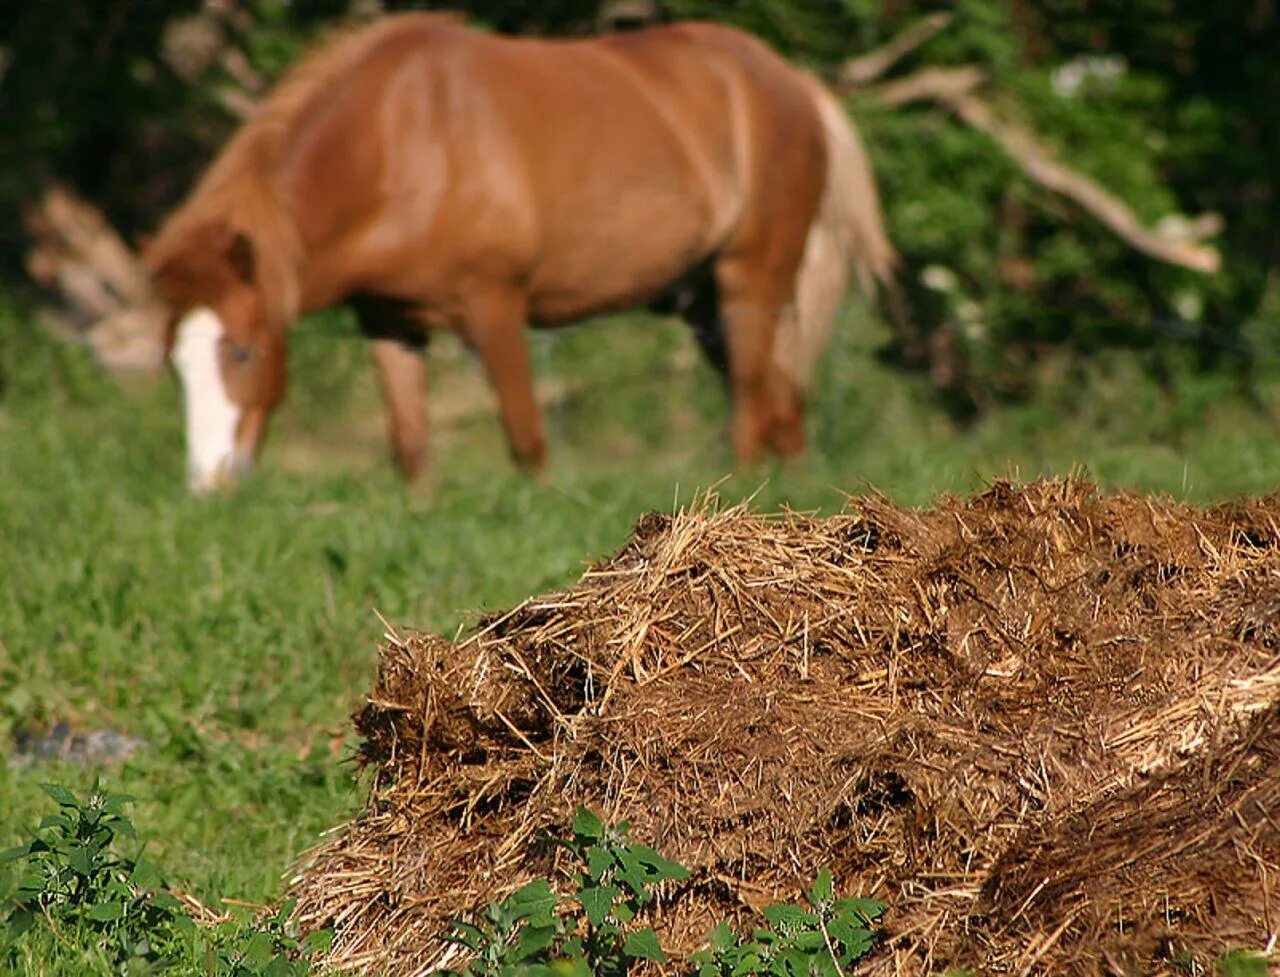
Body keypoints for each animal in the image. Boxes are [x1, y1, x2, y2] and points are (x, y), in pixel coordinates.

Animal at [145, 11, 896, 491]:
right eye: (175, 364)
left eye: (243, 352)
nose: (208, 483)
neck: (399, 142)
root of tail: (794, 82)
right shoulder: (389, 321)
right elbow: (411, 447)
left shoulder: (495, 308)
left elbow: (527, 440)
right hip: (703, 301)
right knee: (781, 398)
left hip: (751, 280)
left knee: (750, 402)